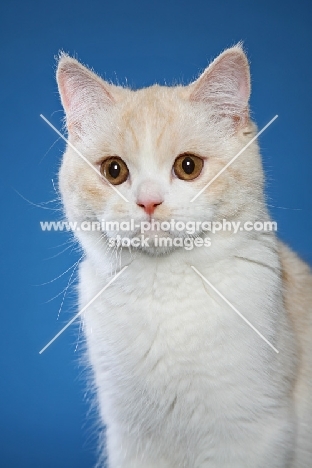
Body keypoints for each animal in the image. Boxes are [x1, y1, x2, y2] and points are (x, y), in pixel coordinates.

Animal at [56, 44, 312, 468]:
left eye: (188, 166)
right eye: (114, 170)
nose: (148, 201)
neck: (163, 292)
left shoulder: (250, 434)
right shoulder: (132, 439)